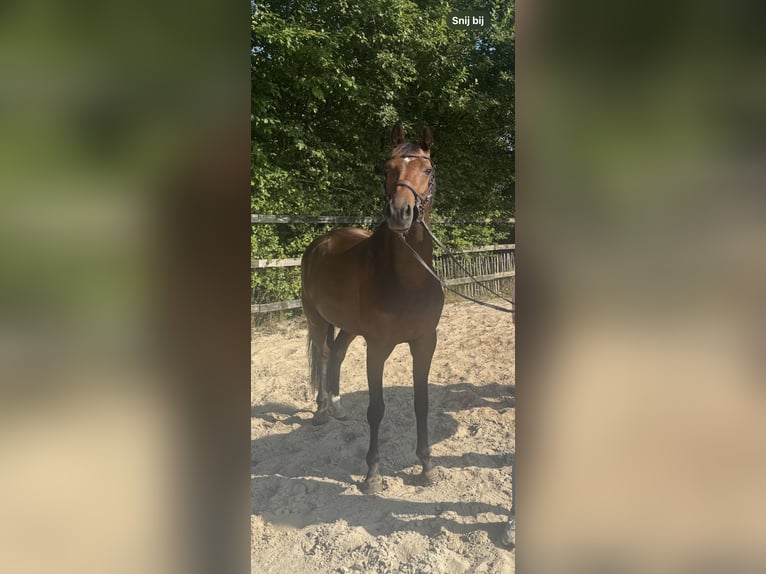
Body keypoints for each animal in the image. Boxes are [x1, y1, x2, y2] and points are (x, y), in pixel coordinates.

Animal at [300, 122, 444, 493]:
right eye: (387, 168)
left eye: (427, 170)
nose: (399, 214)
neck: (407, 280)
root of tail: (321, 242)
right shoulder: (377, 347)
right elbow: (376, 409)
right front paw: (373, 474)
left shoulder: (425, 342)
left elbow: (421, 403)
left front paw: (427, 466)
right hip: (316, 319)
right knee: (323, 353)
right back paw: (321, 411)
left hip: (349, 327)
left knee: (336, 353)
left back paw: (337, 407)